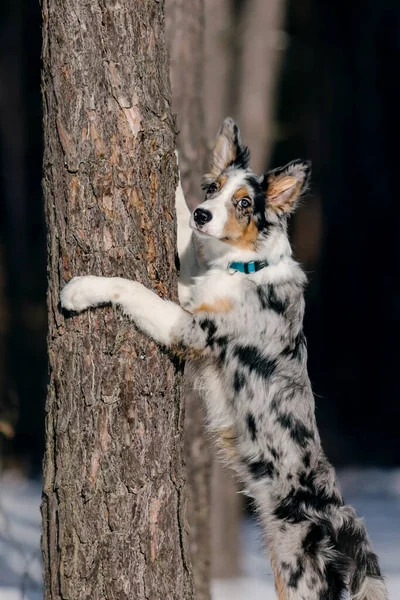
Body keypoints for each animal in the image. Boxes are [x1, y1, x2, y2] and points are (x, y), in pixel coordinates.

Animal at [61, 117, 388, 600]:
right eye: (213, 189)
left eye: (244, 203)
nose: (204, 214)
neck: (246, 267)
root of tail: (339, 512)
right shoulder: (193, 291)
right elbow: (182, 236)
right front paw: (176, 176)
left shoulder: (190, 328)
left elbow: (133, 289)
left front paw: (80, 289)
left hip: (299, 574)